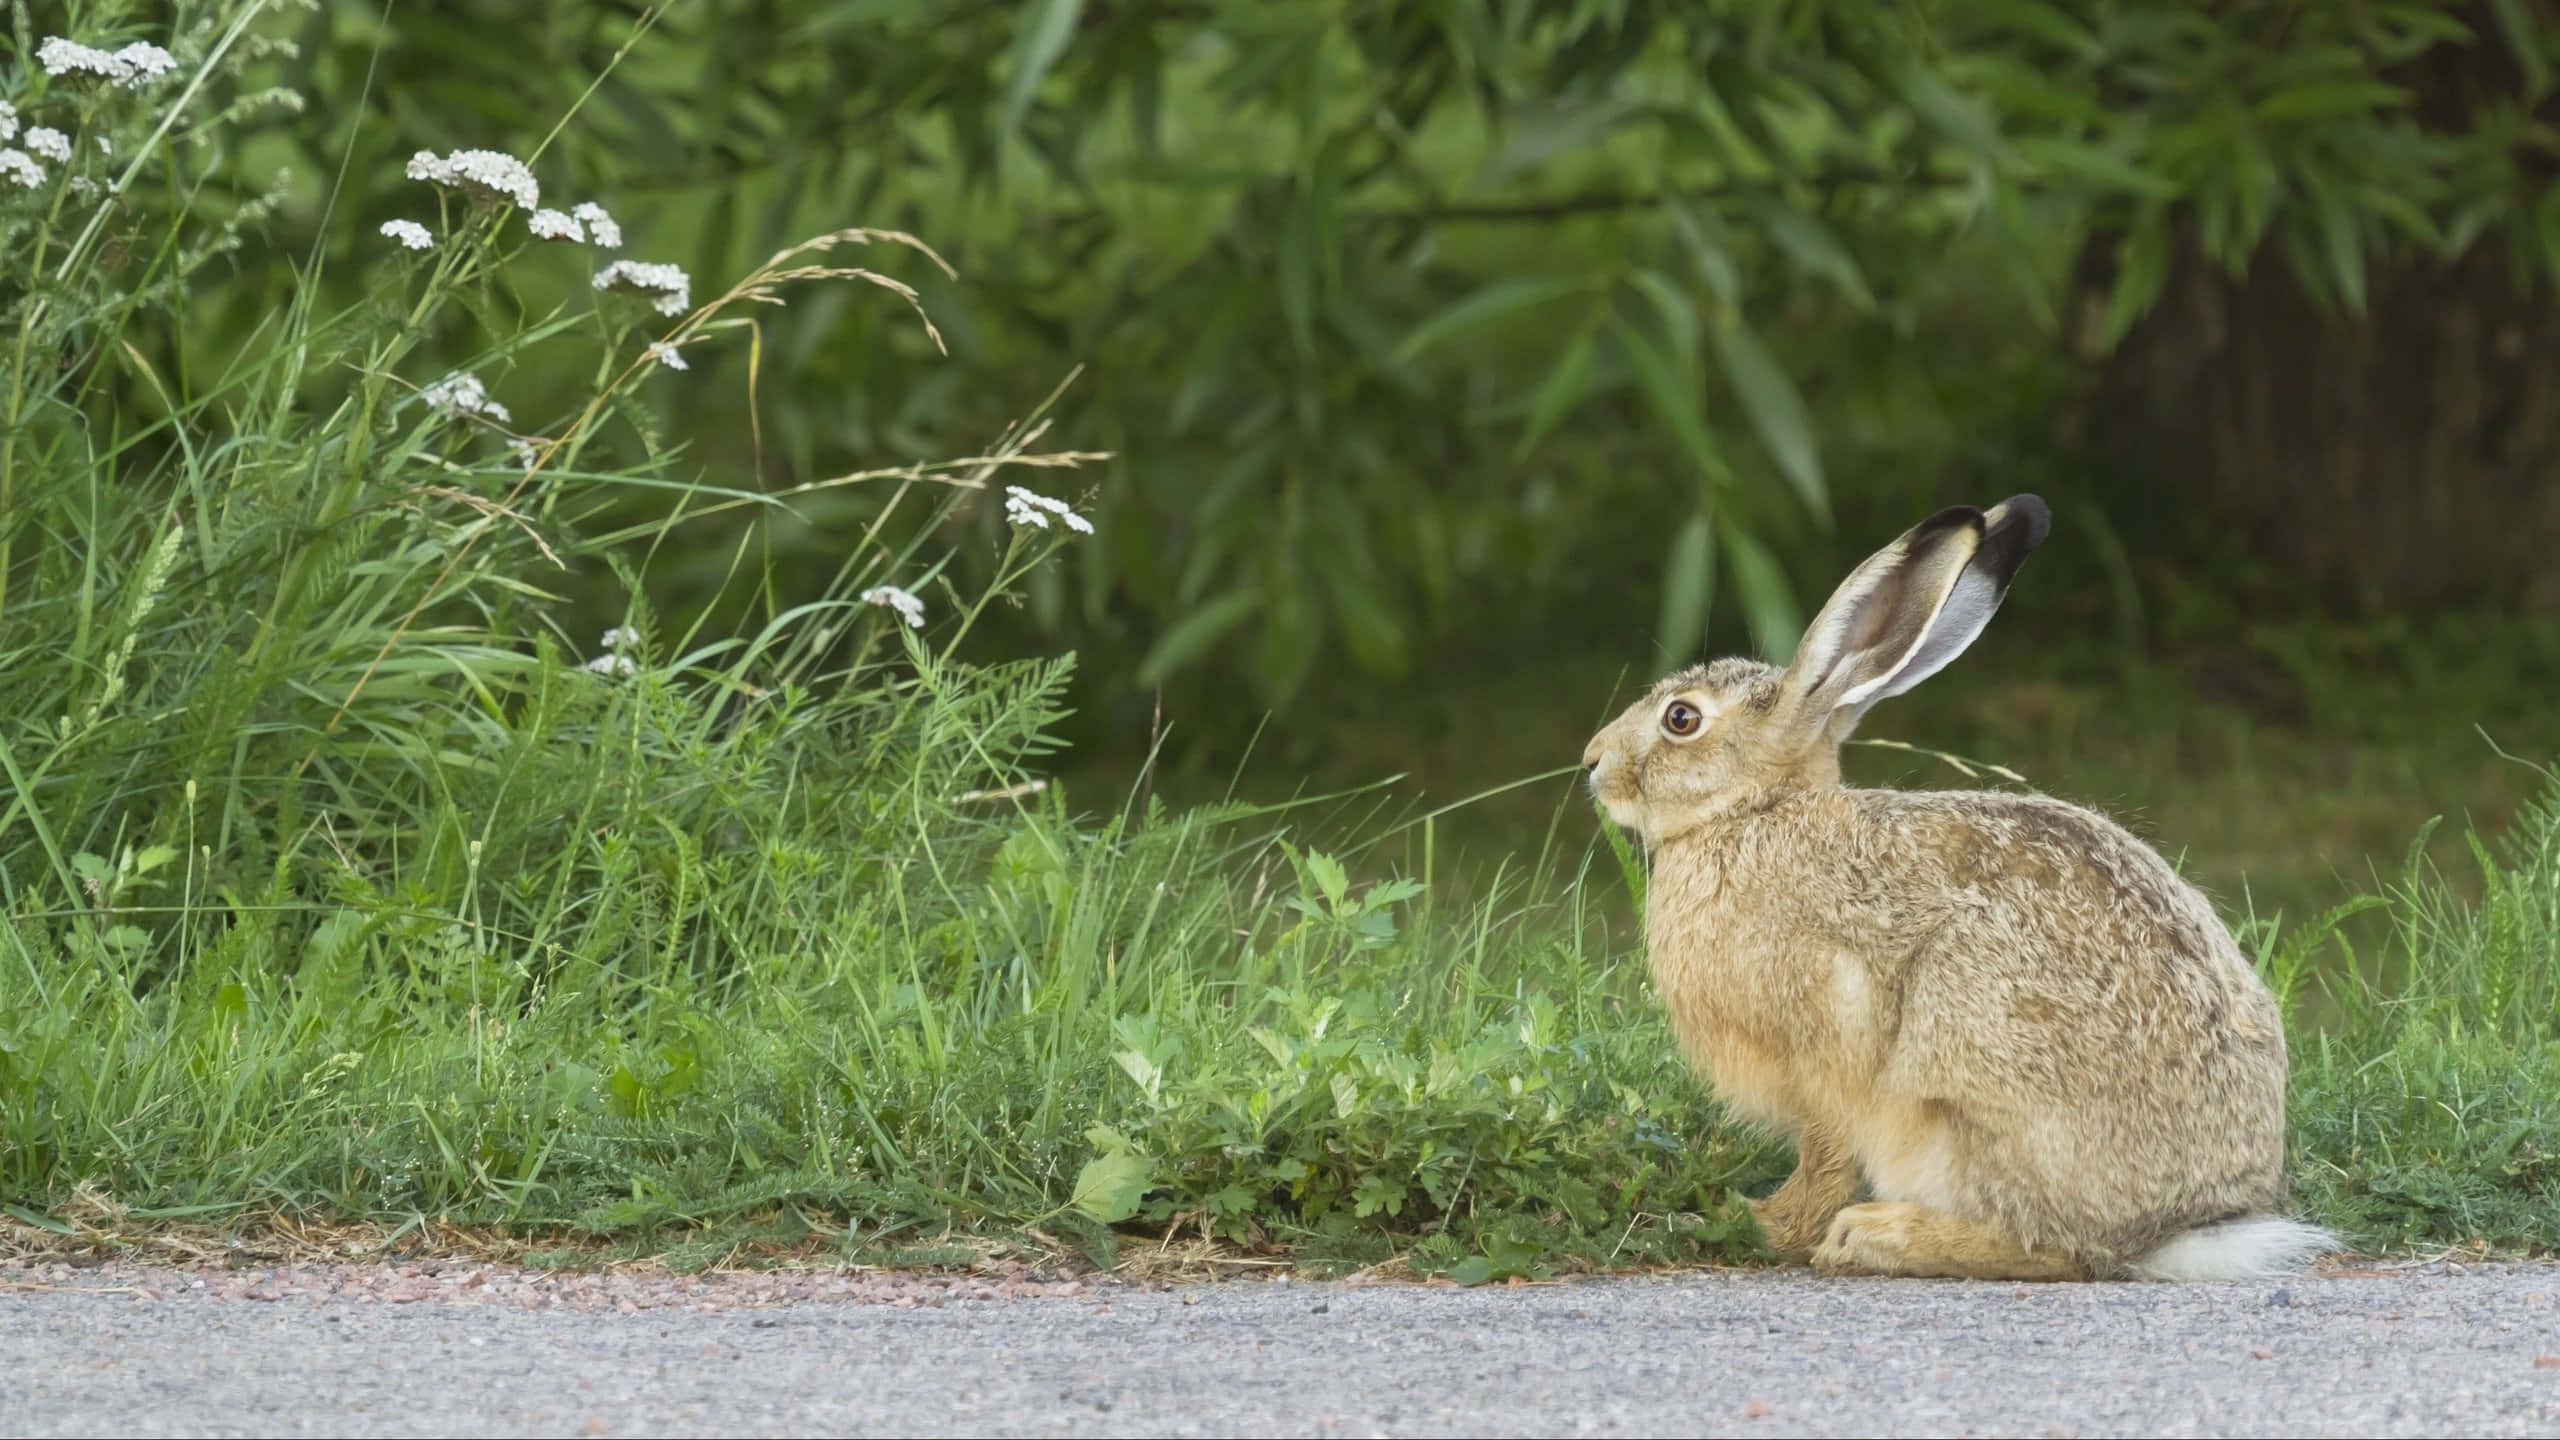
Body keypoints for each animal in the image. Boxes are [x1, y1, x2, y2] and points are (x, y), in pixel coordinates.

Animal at [1581, 495, 2336, 1281]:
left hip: (1959, 1094)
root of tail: (2173, 1228)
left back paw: (1876, 1237)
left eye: (1682, 719)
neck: (1754, 813)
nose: (1592, 762)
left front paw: (1758, 1224)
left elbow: (1824, 1158)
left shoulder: (1824, 1043)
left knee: (2059, 1249)